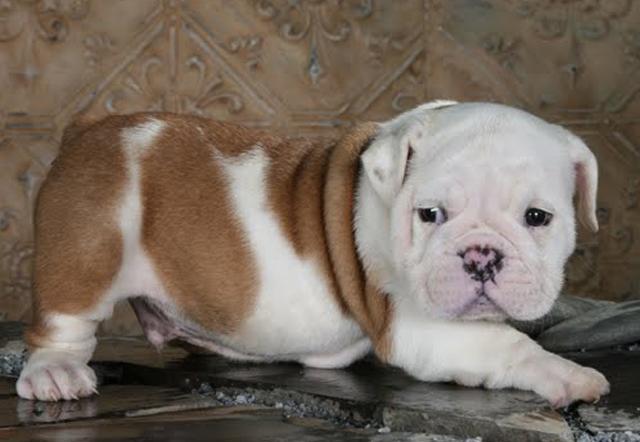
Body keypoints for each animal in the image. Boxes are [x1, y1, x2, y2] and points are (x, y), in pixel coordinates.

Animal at [16, 101, 609, 407]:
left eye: (538, 218)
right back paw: (56, 374)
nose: (482, 256)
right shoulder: (419, 327)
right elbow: (509, 345)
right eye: (430, 214)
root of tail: (90, 127)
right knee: (62, 325)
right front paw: (569, 375)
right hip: (89, 244)